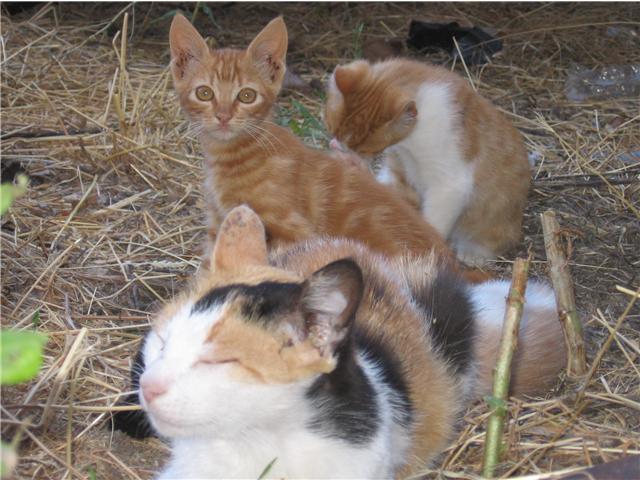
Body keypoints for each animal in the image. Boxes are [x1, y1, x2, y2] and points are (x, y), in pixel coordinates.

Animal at [168, 15, 488, 284]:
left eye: (247, 96)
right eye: (204, 93)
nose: (223, 117)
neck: (233, 154)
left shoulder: (291, 231)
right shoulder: (218, 224)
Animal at [324, 59, 528, 266]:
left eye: (365, 149)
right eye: (331, 129)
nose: (336, 145)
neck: (410, 141)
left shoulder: (450, 184)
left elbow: (433, 222)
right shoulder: (398, 171)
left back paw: (473, 252)